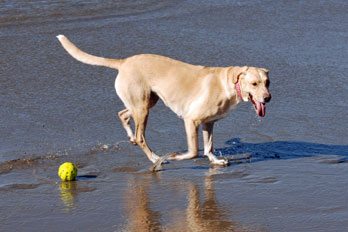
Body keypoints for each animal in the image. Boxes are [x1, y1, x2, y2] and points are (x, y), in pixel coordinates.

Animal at [57, 34, 270, 166]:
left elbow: (208, 146)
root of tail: (123, 62)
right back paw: (154, 158)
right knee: (141, 136)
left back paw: (131, 138)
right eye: (254, 84)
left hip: (145, 102)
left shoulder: (208, 123)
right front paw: (176, 156)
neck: (228, 83)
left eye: (267, 82)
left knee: (123, 114)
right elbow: (194, 151)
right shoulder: (191, 120)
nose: (268, 98)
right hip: (143, 108)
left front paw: (215, 161)